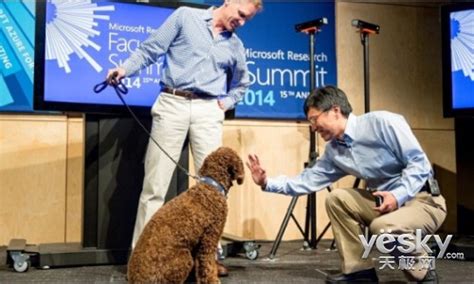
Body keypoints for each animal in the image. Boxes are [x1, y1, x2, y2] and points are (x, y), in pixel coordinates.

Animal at [127, 148, 244, 282]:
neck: (211, 186)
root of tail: (135, 279)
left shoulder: (198, 243)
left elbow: (200, 266)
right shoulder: (210, 237)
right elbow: (208, 263)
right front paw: (212, 279)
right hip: (185, 258)